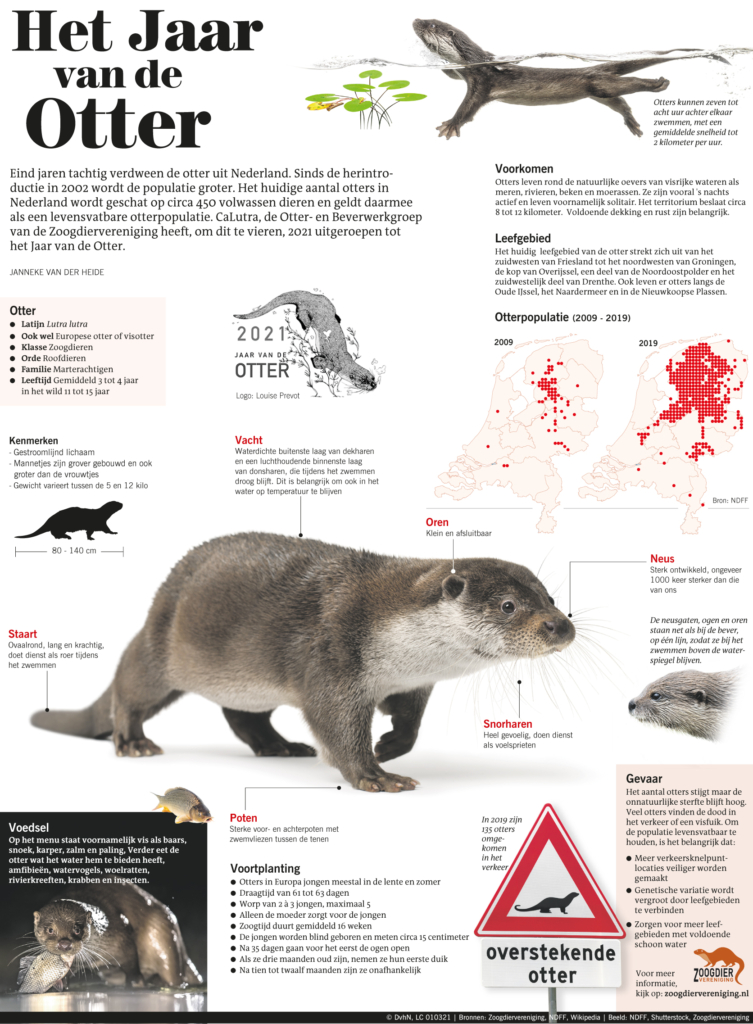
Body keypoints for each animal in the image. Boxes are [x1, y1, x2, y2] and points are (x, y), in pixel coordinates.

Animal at [29, 881, 201, 988]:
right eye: (50, 930)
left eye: (77, 929)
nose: (64, 944)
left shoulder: (121, 934)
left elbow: (131, 963)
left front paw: (135, 984)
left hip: (164, 937)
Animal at [30, 532, 574, 792]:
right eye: (508, 605)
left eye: (550, 597)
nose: (561, 626)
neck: (388, 626)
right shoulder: (334, 655)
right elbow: (334, 721)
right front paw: (376, 774)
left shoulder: (414, 682)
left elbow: (410, 721)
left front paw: (391, 745)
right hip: (161, 646)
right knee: (130, 685)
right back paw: (133, 742)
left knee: (243, 716)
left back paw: (279, 747)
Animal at [235, 292, 377, 391]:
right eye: (363, 381)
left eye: (372, 377)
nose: (374, 385)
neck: (342, 360)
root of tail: (311, 296)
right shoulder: (330, 362)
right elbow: (317, 361)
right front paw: (315, 363)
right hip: (307, 308)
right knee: (302, 314)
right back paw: (305, 325)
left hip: (326, 301)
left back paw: (337, 317)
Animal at [413, 19, 728, 138]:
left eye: (431, 24)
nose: (415, 19)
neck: (473, 61)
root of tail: (596, 69)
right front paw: (445, 68)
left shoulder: (482, 81)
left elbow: (468, 108)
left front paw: (450, 124)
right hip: (597, 93)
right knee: (621, 102)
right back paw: (633, 124)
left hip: (598, 84)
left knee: (628, 86)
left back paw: (658, 83)